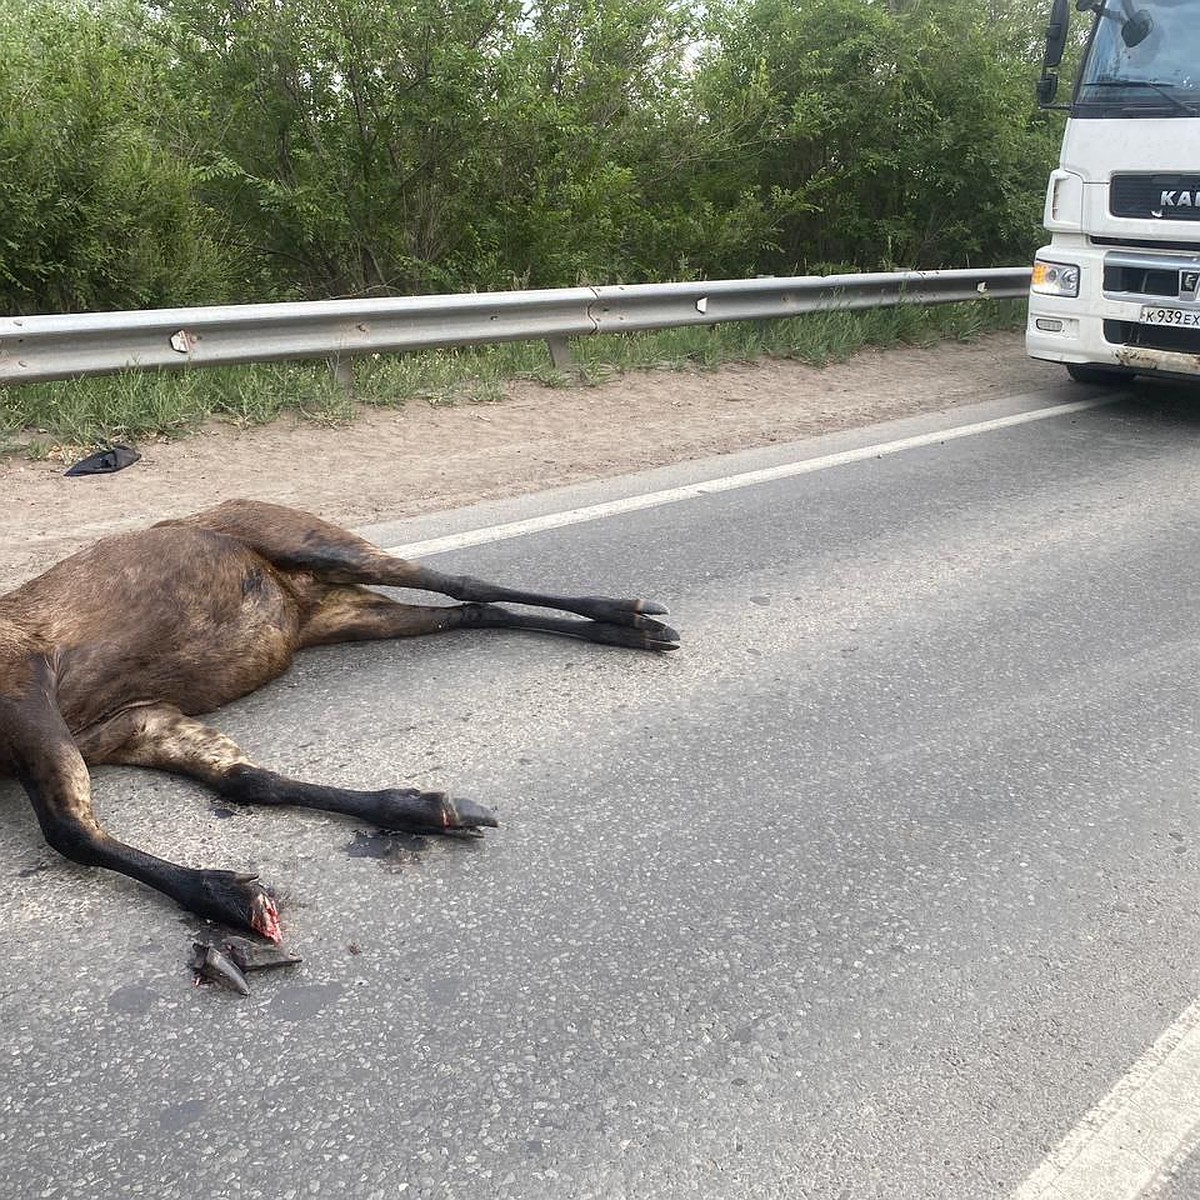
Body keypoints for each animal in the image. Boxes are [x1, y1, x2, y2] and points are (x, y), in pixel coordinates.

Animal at [0, 496, 676, 936]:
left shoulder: (28, 679)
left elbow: (69, 831)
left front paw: (227, 894)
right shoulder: (131, 722)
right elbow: (249, 780)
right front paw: (423, 807)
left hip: (325, 545)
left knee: (464, 582)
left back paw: (632, 615)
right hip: (345, 615)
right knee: (472, 612)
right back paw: (626, 631)